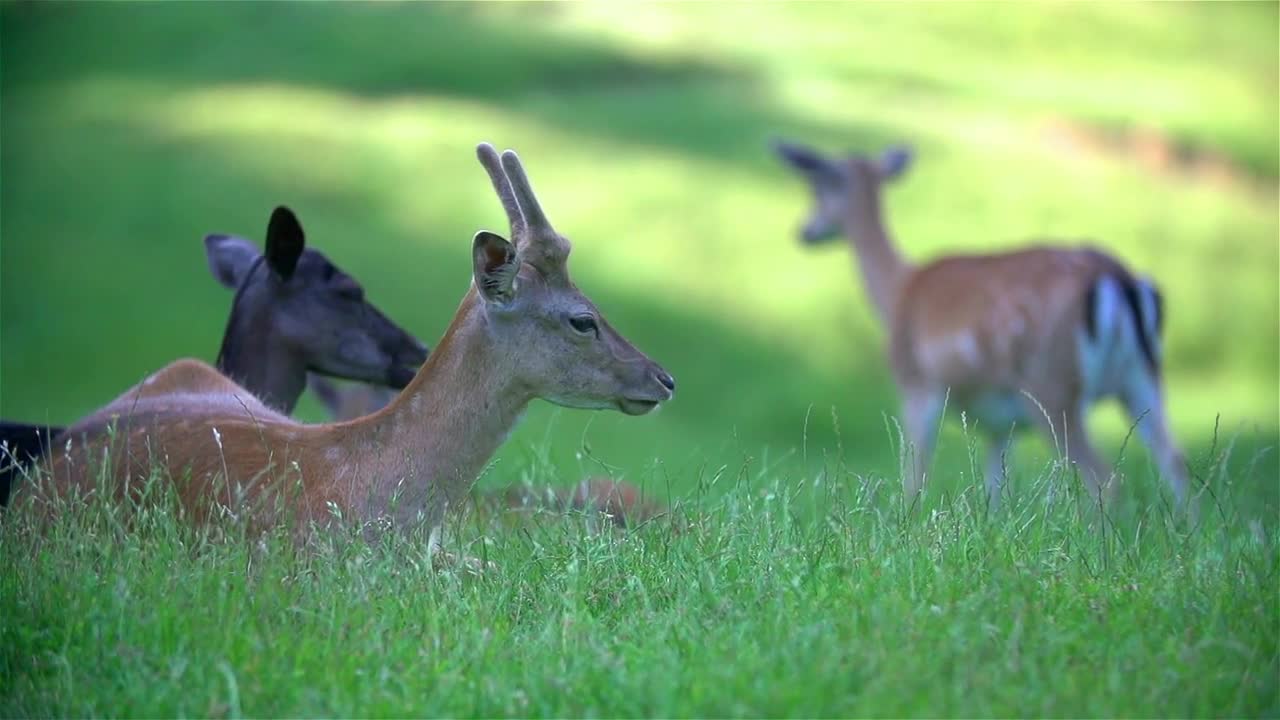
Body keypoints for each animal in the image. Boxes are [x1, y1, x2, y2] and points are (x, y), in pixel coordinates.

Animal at [768, 139, 1187, 509]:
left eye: (818, 186)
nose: (804, 231)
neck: (898, 291)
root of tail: (1120, 280)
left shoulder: (917, 384)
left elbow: (915, 478)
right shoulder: (999, 423)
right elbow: (993, 492)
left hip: (1053, 385)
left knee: (1107, 479)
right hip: (1142, 377)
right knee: (1176, 462)